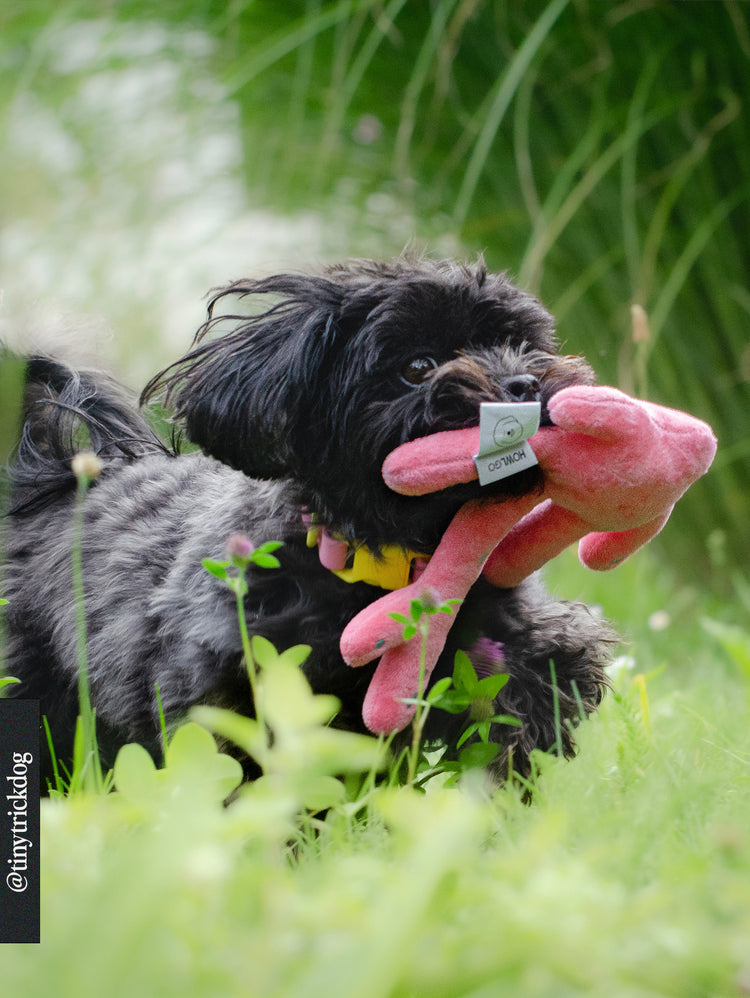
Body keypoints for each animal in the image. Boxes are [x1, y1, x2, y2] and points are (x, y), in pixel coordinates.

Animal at [1, 258, 616, 788]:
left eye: (524, 345)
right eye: (417, 367)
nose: (524, 384)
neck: (390, 565)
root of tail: (52, 477)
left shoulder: (506, 645)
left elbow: (527, 693)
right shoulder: (237, 688)